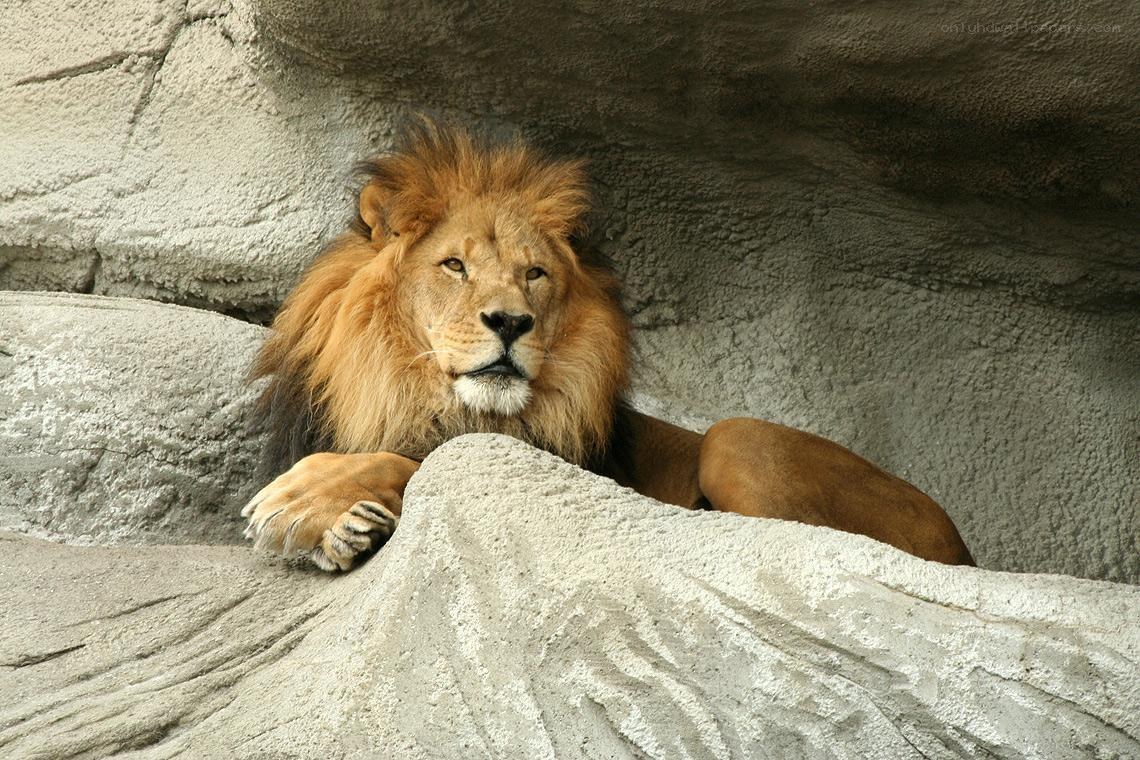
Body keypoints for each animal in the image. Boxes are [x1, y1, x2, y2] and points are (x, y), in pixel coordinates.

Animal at [243, 120, 974, 572]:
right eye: (454, 265)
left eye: (535, 274)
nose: (510, 323)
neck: (411, 389)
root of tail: (971, 554)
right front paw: (346, 531)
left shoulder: (554, 466)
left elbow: (423, 459)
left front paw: (302, 500)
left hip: (736, 437)